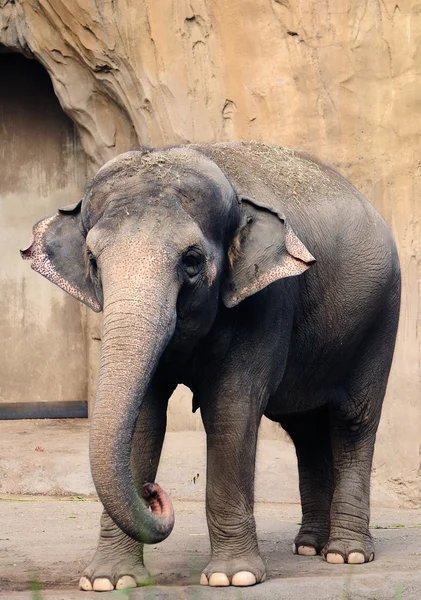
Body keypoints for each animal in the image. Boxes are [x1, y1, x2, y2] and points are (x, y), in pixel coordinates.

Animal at [20, 142, 400, 592]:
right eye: (93, 260)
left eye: (192, 260)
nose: (152, 492)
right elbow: (145, 417)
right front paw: (109, 581)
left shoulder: (267, 302)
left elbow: (232, 409)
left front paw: (232, 578)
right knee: (304, 429)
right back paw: (309, 547)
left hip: (381, 318)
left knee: (353, 422)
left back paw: (347, 554)